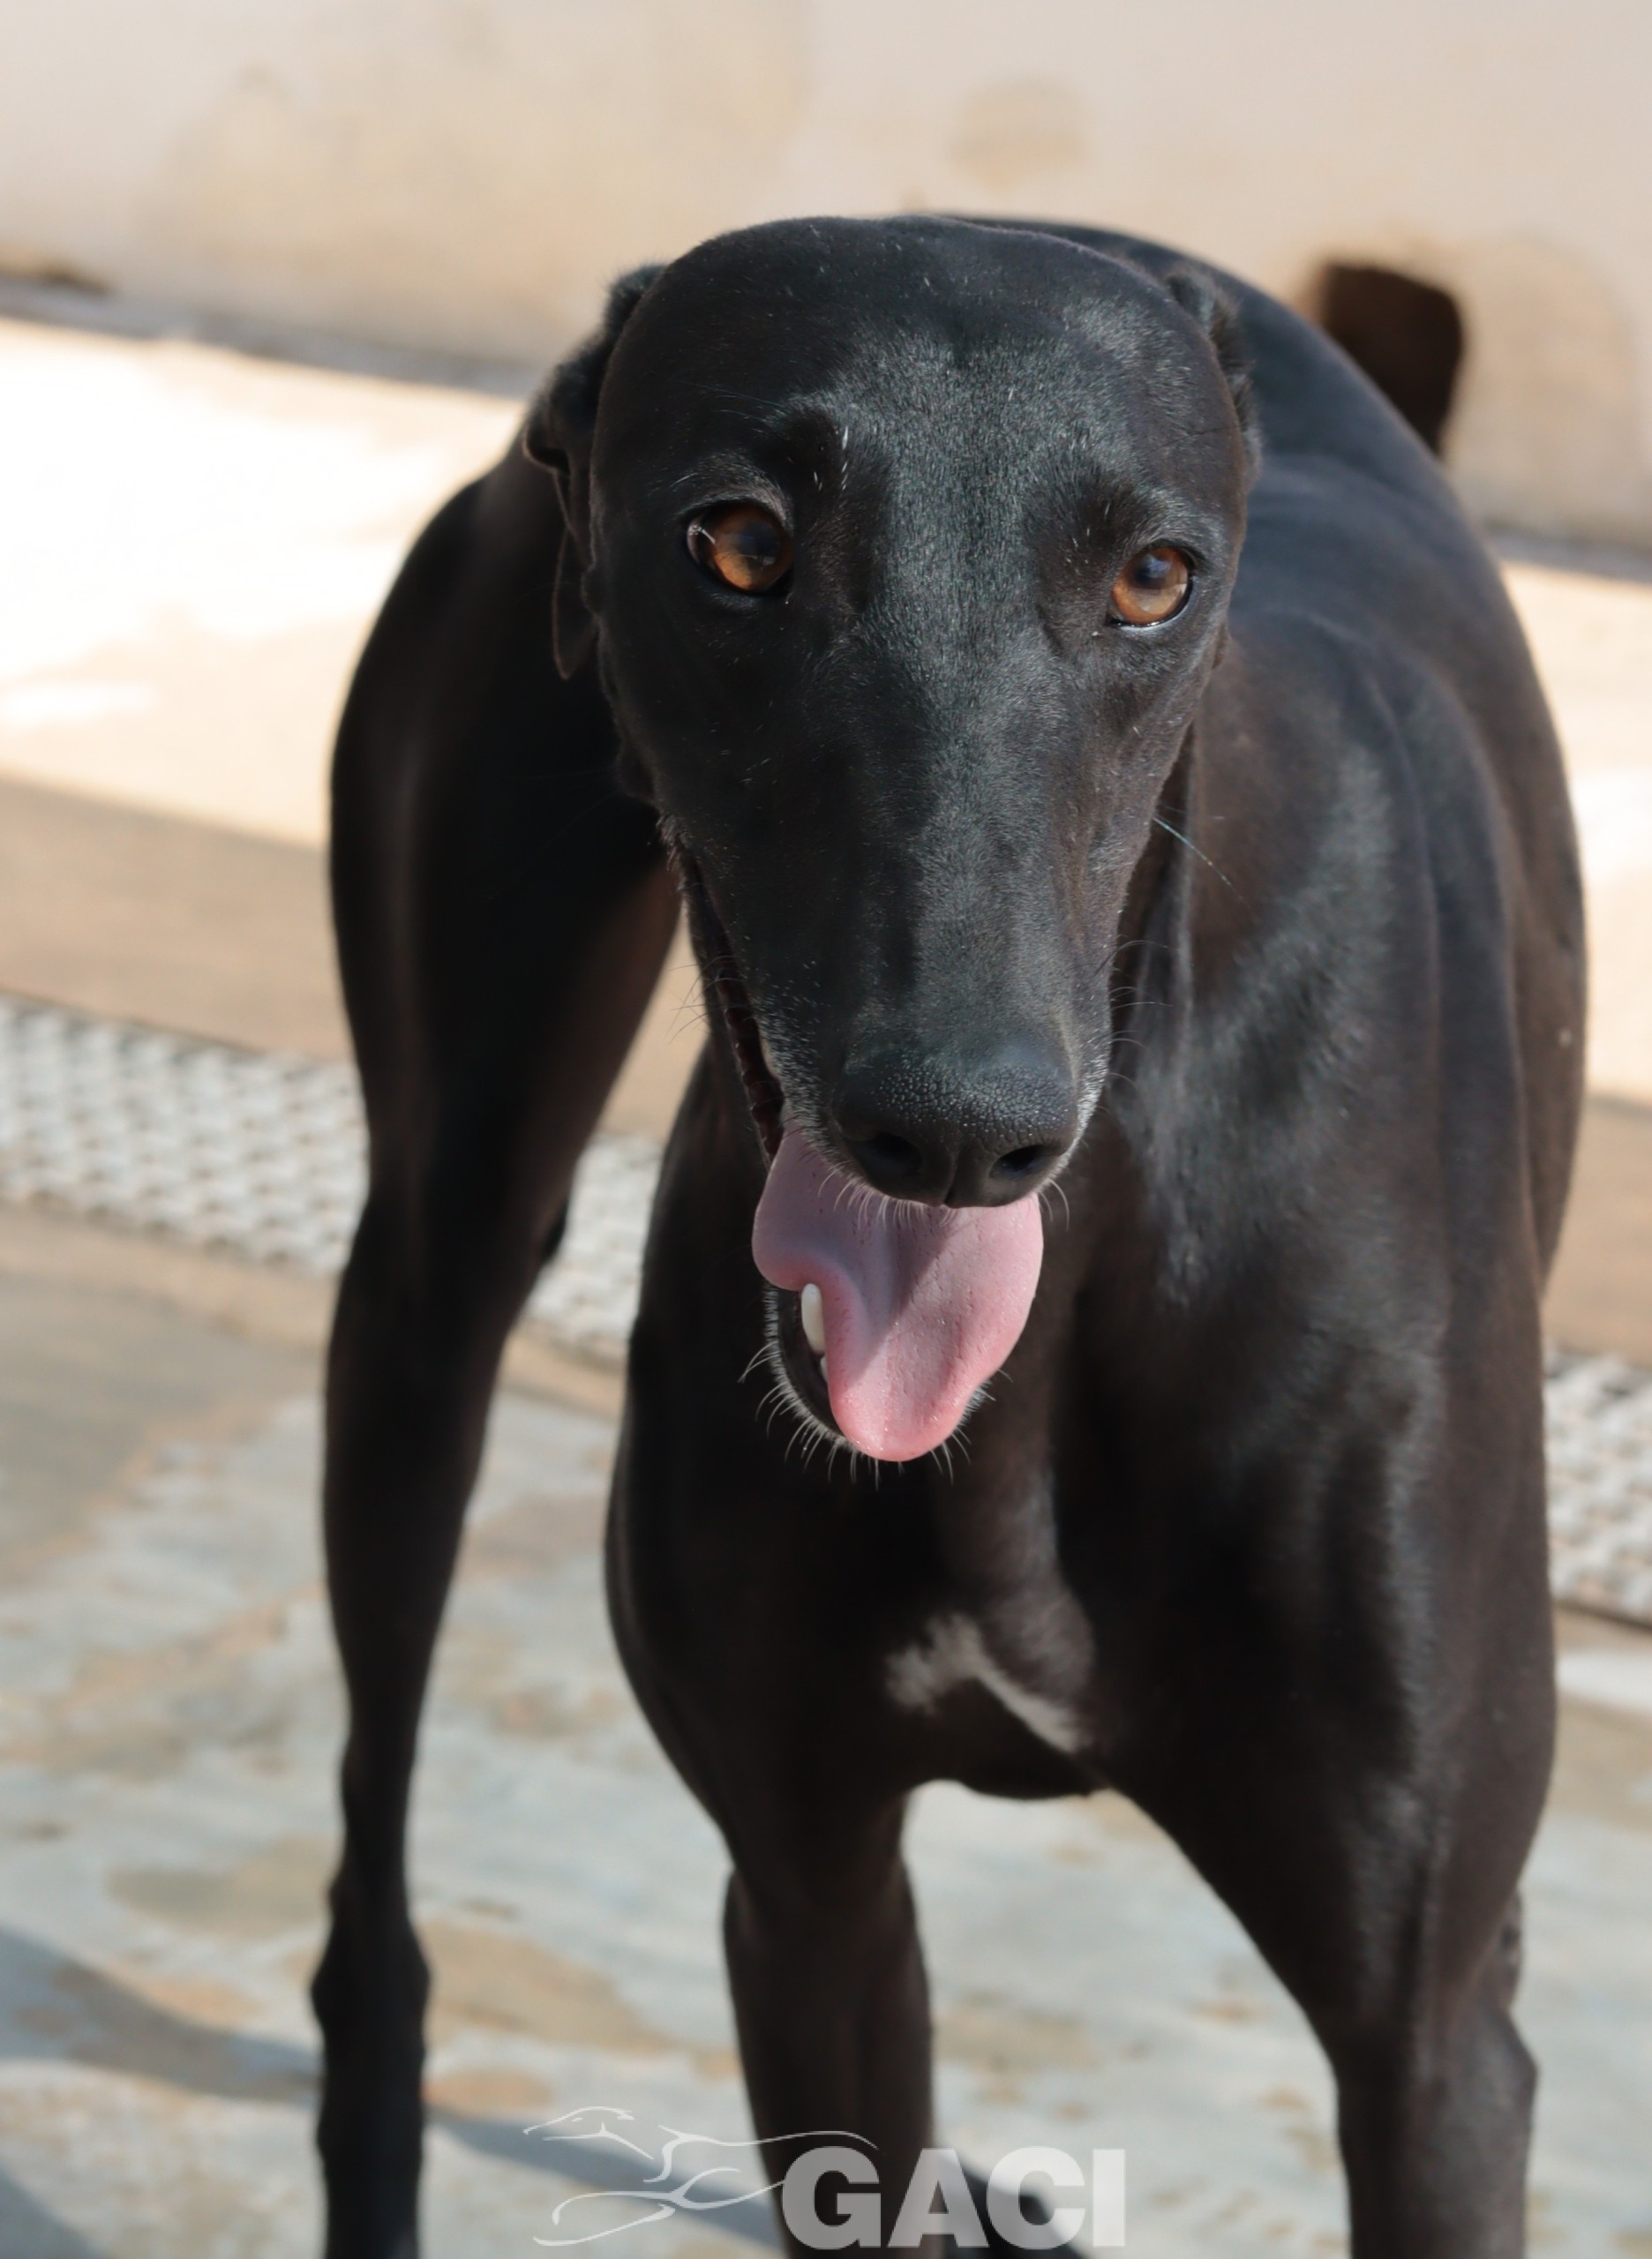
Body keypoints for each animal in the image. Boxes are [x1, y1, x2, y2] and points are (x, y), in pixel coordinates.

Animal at [311, 217, 1584, 2258]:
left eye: (1154, 577)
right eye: (737, 543)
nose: (956, 1129)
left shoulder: (1436, 2042)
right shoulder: (805, 1889)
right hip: (436, 1261)